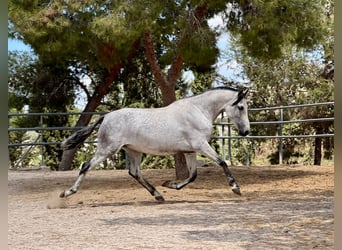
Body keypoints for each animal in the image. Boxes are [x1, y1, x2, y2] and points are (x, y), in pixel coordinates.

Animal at [60, 86, 250, 201]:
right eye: (241, 107)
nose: (246, 131)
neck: (198, 110)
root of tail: (105, 116)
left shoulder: (190, 151)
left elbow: (193, 175)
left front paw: (170, 185)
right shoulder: (201, 145)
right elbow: (222, 162)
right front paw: (235, 187)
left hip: (133, 151)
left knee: (135, 173)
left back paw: (158, 195)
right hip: (108, 149)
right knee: (86, 166)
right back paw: (67, 192)